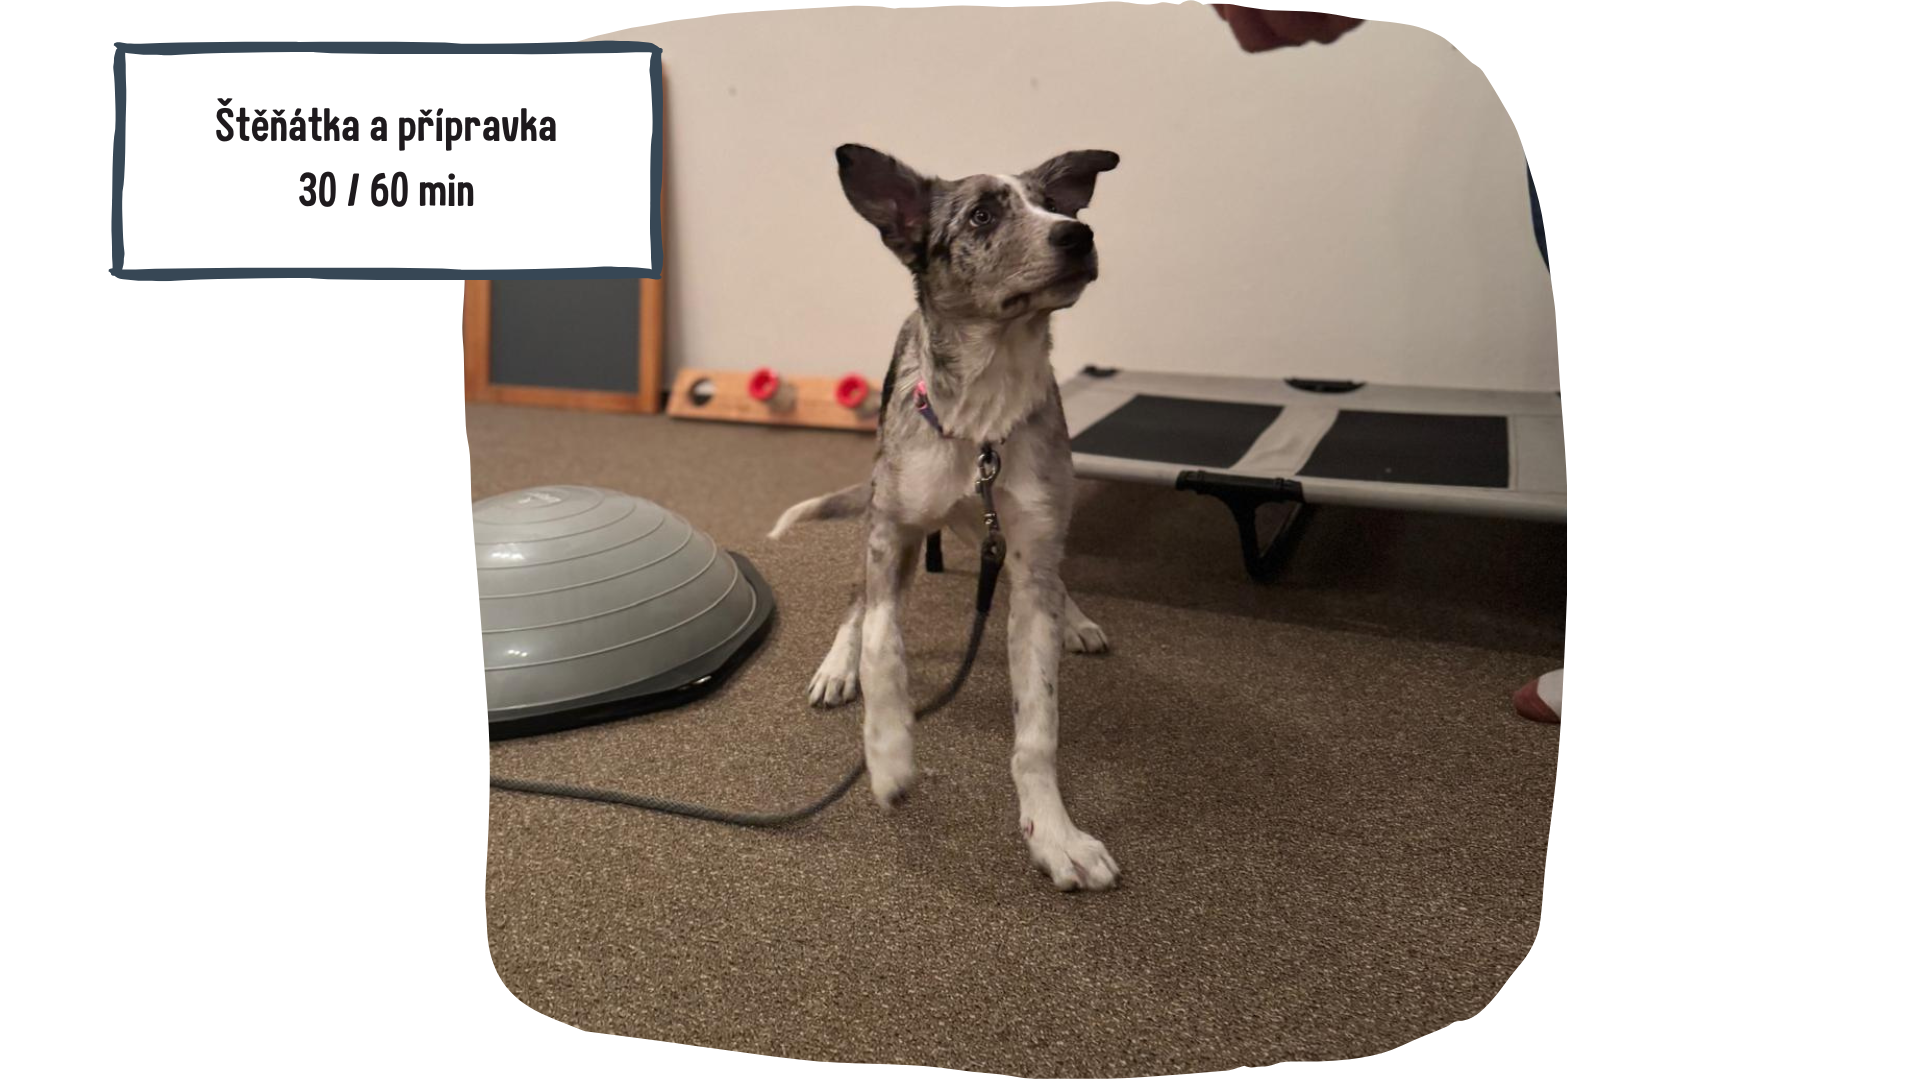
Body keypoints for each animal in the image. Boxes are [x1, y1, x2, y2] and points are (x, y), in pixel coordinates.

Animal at [769, 144, 1122, 891]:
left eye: (1059, 205)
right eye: (983, 214)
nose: (1078, 236)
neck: (984, 417)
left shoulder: (1029, 553)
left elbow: (1038, 727)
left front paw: (1053, 833)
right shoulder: (889, 532)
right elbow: (882, 643)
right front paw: (889, 755)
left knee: (1053, 580)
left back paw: (1076, 618)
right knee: (856, 605)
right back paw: (837, 666)